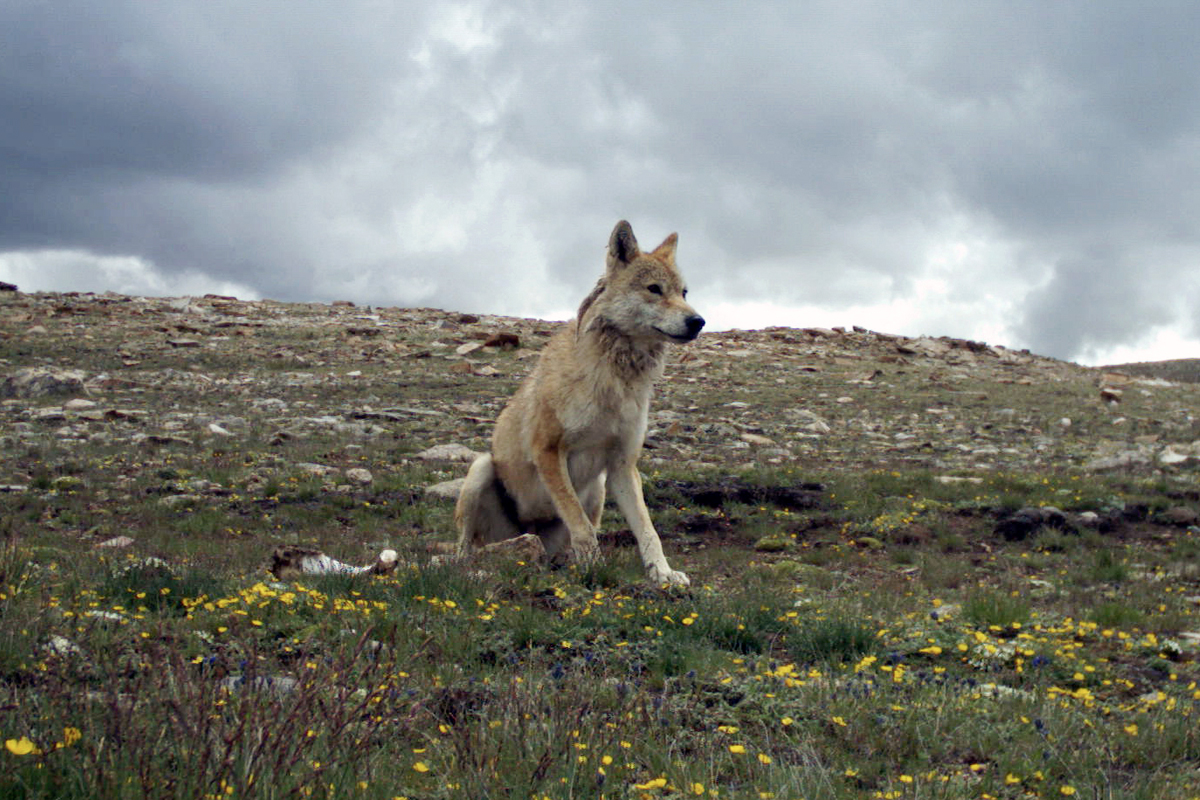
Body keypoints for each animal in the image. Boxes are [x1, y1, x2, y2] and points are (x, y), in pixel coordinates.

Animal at [454, 220, 704, 585]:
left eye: (684, 293)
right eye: (654, 289)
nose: (698, 321)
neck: (616, 381)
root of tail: (529, 533)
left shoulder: (622, 465)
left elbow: (647, 530)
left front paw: (663, 574)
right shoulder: (547, 450)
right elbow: (581, 525)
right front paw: (595, 568)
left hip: (597, 488)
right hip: (481, 469)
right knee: (462, 547)